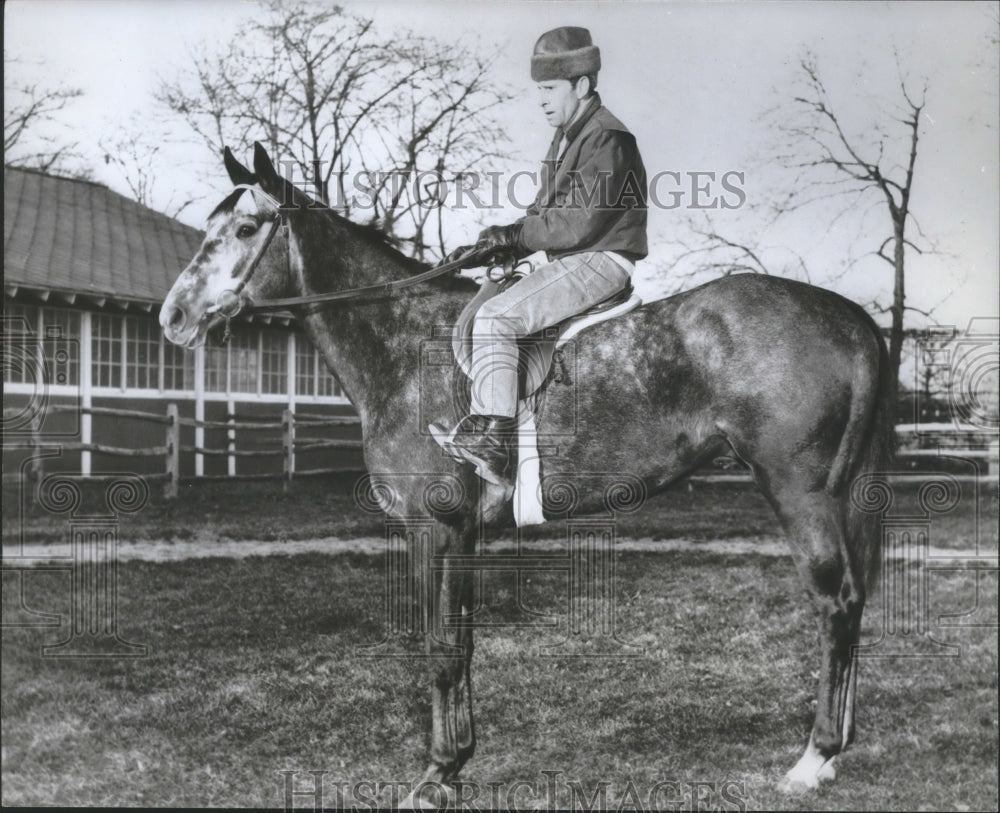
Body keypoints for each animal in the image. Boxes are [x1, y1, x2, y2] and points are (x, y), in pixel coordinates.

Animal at [160, 143, 896, 796]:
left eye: (246, 229)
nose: (173, 317)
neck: (404, 343)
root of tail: (849, 316)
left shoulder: (432, 526)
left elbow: (440, 648)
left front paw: (435, 774)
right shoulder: (464, 532)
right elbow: (462, 644)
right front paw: (457, 762)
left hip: (800, 492)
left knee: (835, 601)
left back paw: (814, 757)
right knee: (854, 601)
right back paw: (836, 750)